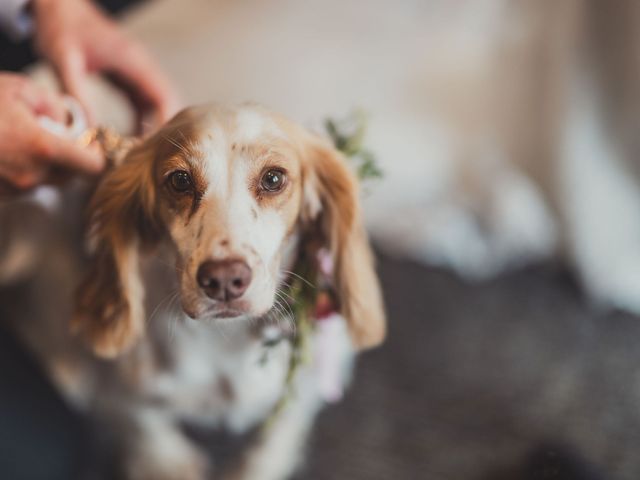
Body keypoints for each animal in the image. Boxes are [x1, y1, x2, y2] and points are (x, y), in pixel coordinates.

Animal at [0, 102, 384, 480]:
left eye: (273, 178)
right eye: (180, 180)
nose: (224, 280)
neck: (225, 339)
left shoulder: (303, 393)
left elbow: (271, 445)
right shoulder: (123, 394)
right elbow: (150, 436)